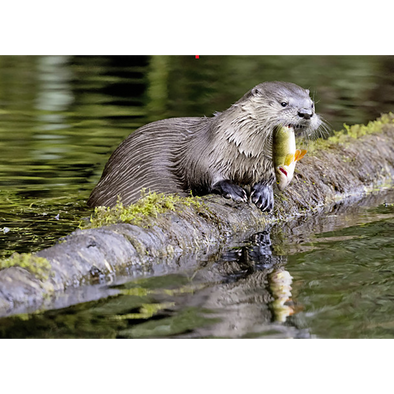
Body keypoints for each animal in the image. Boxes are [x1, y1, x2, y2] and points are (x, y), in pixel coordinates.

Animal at [87, 81, 322, 212]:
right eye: (283, 103)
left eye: (311, 104)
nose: (306, 113)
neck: (246, 153)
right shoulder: (205, 152)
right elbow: (203, 174)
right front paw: (232, 189)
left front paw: (264, 192)